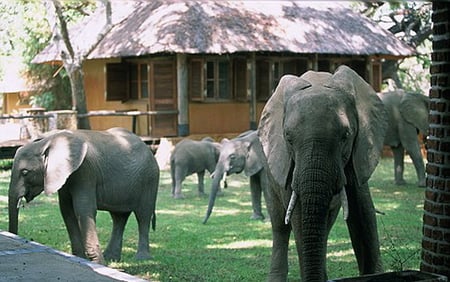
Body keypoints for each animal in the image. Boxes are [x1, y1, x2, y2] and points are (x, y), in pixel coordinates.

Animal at [7, 128, 160, 264]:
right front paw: (82, 258)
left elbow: (83, 209)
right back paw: (111, 258)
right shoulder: (66, 176)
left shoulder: (85, 171)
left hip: (150, 179)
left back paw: (141, 259)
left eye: (25, 172)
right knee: (119, 218)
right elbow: (67, 211)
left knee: (143, 216)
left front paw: (99, 264)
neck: (48, 140)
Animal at [258, 65, 388, 280]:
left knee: (325, 225)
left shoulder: (359, 151)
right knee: (280, 226)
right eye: (288, 138)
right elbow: (299, 218)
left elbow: (363, 213)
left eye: (346, 135)